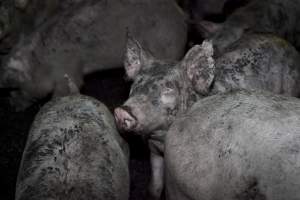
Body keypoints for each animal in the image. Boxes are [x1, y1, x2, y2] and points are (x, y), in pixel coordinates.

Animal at [0, 0, 188, 110]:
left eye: (16, 87)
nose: (11, 105)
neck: (39, 63)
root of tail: (181, 15)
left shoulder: (67, 67)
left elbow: (67, 88)